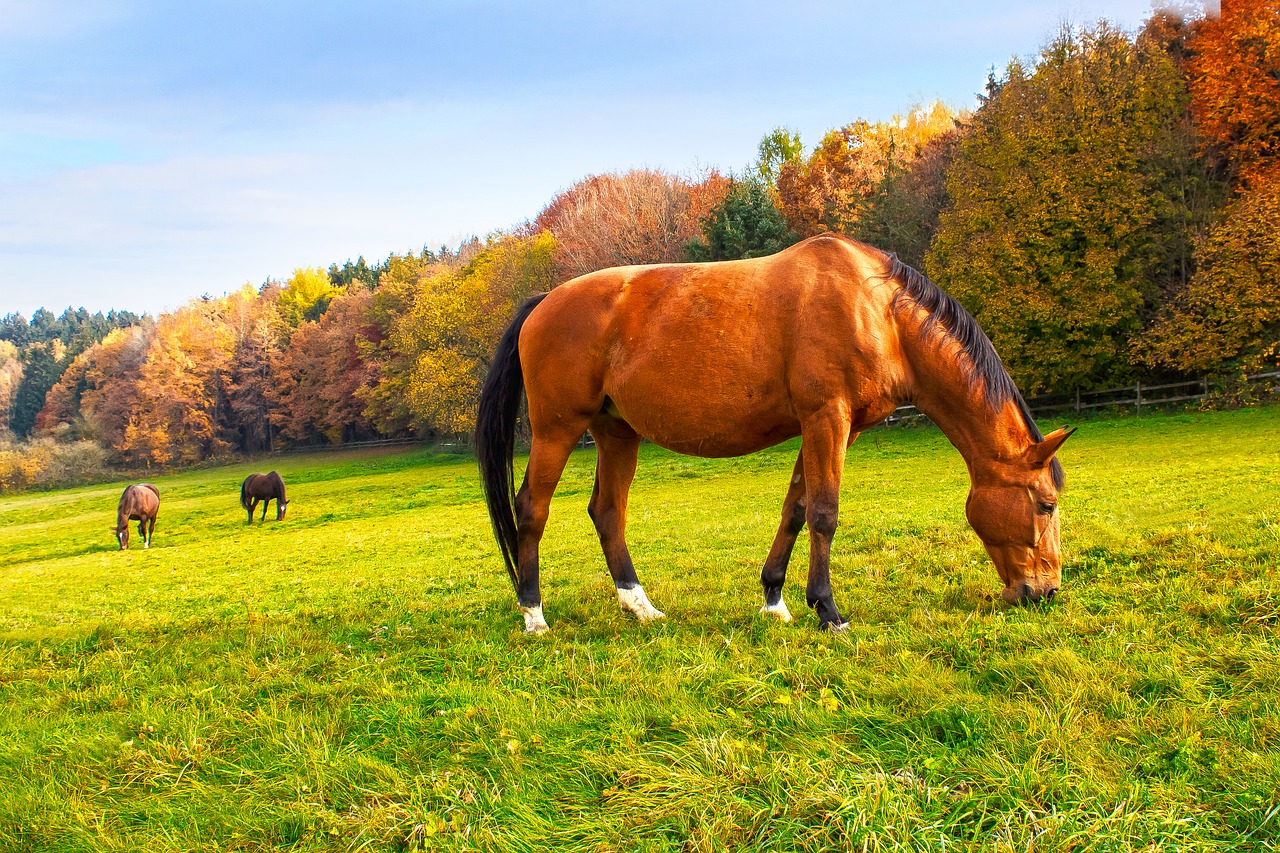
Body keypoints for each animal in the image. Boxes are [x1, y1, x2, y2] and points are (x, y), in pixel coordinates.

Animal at [476, 233, 1075, 630]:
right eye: (1045, 504)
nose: (1044, 591)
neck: (876, 310)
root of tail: (543, 302)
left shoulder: (835, 428)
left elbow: (797, 508)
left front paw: (776, 599)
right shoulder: (826, 418)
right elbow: (825, 512)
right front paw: (828, 610)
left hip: (616, 432)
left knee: (606, 512)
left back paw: (640, 606)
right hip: (557, 429)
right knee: (532, 508)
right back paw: (534, 613)